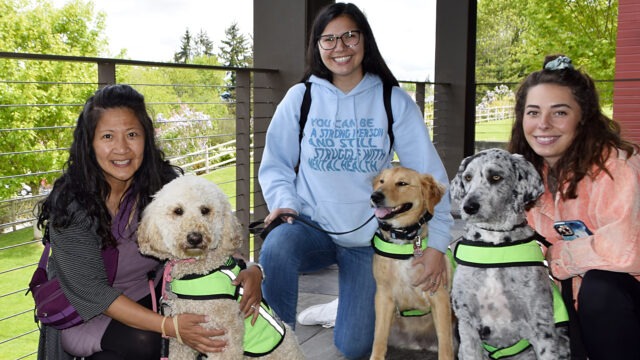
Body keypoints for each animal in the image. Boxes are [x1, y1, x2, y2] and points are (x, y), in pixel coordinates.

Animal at [136, 174, 304, 358]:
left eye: (205, 210)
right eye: (178, 211)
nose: (195, 237)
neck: (198, 270)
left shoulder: (223, 340)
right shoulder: (179, 339)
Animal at [370, 168, 456, 360]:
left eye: (402, 183)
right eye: (381, 181)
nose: (375, 196)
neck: (405, 241)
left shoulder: (438, 296)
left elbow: (445, 344)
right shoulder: (384, 296)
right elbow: (378, 338)